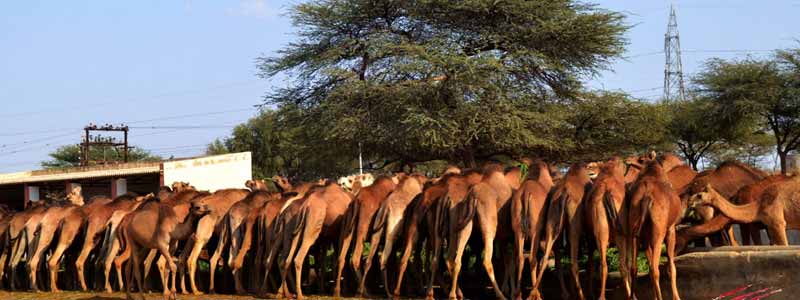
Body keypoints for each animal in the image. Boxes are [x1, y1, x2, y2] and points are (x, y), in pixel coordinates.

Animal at [510, 161, 552, 298]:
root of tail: (525, 193)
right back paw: (535, 294)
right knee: (533, 259)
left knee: (520, 258)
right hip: (534, 232)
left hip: (519, 231)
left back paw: (518, 294)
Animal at [536, 163, 592, 300]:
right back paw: (581, 296)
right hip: (574, 224)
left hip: (552, 217)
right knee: (574, 264)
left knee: (546, 259)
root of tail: (564, 193)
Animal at [580, 157, 632, 300]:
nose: (589, 167)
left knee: (604, 265)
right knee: (620, 265)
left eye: (595, 166)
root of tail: (607, 193)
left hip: (602, 232)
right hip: (618, 234)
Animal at [620, 162, 680, 300]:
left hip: (635, 234)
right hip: (658, 234)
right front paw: (676, 297)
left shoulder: (645, 238)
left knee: (635, 268)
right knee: (655, 269)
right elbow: (671, 267)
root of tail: (646, 198)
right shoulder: (671, 229)